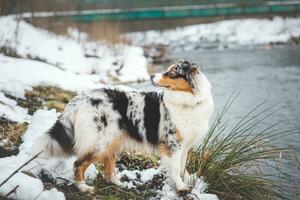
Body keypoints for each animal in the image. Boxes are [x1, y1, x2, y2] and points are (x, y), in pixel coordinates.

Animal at [34, 59, 213, 192]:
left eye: (173, 72)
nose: (151, 75)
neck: (188, 102)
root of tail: (80, 99)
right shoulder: (173, 146)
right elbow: (176, 169)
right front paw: (181, 188)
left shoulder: (185, 146)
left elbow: (182, 168)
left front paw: (185, 183)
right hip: (100, 143)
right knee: (78, 164)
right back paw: (84, 187)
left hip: (113, 140)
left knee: (108, 170)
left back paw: (119, 184)